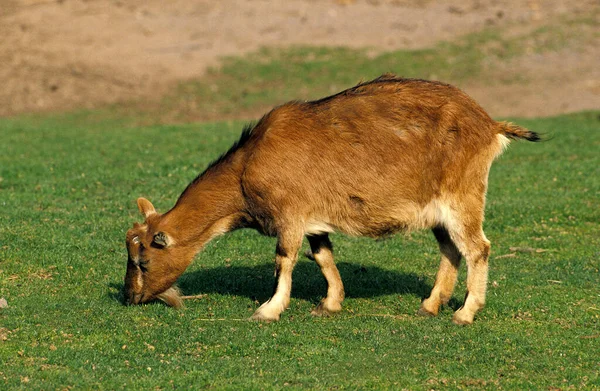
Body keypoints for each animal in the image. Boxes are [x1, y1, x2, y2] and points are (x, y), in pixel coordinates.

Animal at [122, 73, 540, 324]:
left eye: (143, 261)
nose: (129, 296)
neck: (248, 163)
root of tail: (490, 125)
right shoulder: (313, 221)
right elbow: (322, 256)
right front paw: (331, 302)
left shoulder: (290, 216)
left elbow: (284, 260)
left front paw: (269, 310)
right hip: (438, 211)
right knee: (451, 249)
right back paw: (430, 304)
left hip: (462, 197)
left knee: (478, 248)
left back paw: (465, 312)